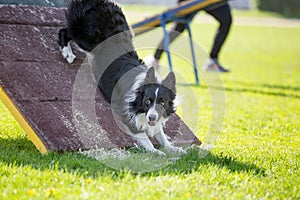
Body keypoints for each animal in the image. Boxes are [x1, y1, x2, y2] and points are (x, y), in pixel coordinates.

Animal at [57, 0, 184, 155]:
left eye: (162, 103)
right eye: (147, 101)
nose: (151, 117)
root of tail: (100, 2)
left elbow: (160, 132)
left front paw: (173, 148)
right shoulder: (127, 113)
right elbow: (142, 135)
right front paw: (156, 151)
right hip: (86, 37)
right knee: (65, 30)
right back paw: (67, 52)